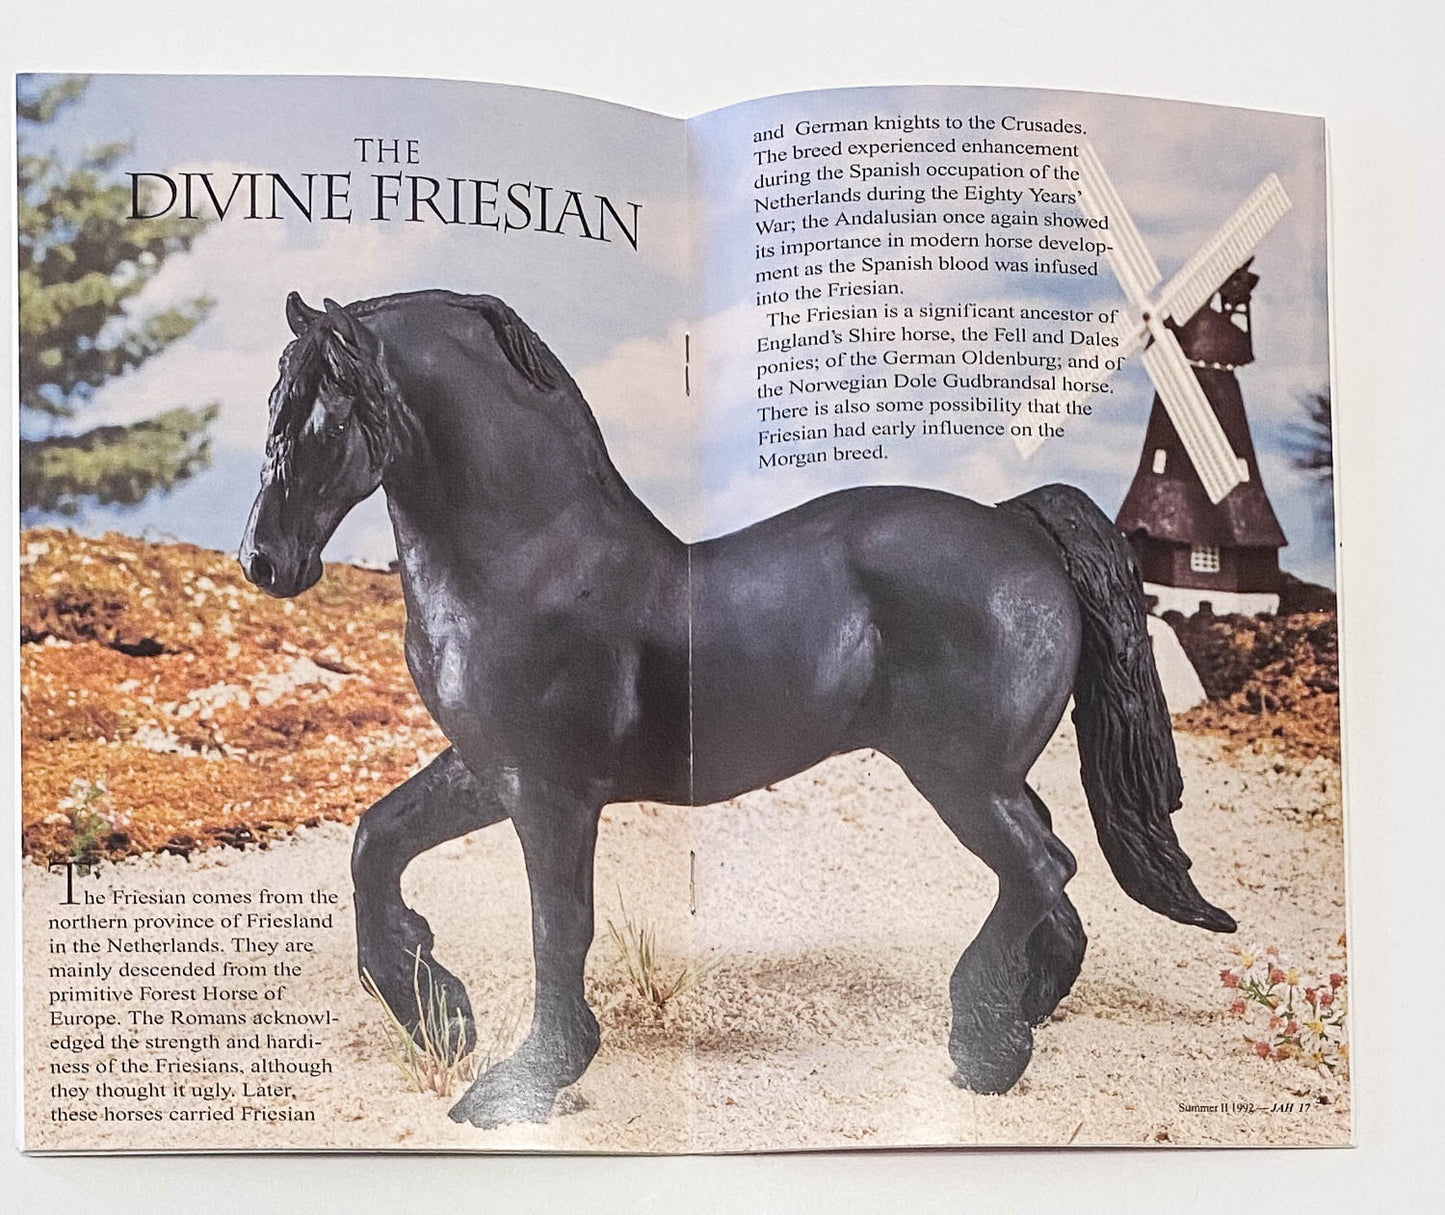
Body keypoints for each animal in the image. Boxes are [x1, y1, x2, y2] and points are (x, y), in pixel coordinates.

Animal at [239, 289, 1235, 1129]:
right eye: (273, 404)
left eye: (325, 416)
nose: (265, 560)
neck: (529, 557)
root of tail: (1016, 524)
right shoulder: (489, 770)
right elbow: (374, 842)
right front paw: (436, 1012)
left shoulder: (550, 792)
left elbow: (556, 925)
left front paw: (519, 1080)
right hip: (991, 773)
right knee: (1049, 877)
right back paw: (1021, 1015)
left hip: (960, 776)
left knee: (1039, 867)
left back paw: (981, 1048)